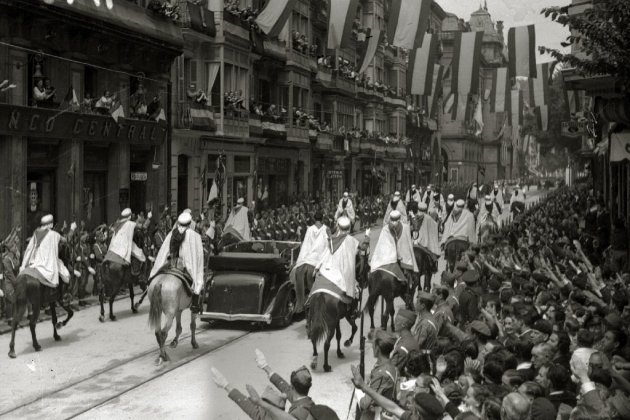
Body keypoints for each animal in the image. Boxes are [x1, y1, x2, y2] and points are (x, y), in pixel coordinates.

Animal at [308, 244, 370, 372]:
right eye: (368, 267)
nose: (366, 283)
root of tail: (321, 294)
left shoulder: (337, 319)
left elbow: (339, 335)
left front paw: (339, 352)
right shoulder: (347, 315)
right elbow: (355, 328)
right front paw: (348, 342)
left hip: (314, 318)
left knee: (313, 336)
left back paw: (315, 359)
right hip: (330, 325)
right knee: (326, 344)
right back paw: (326, 366)